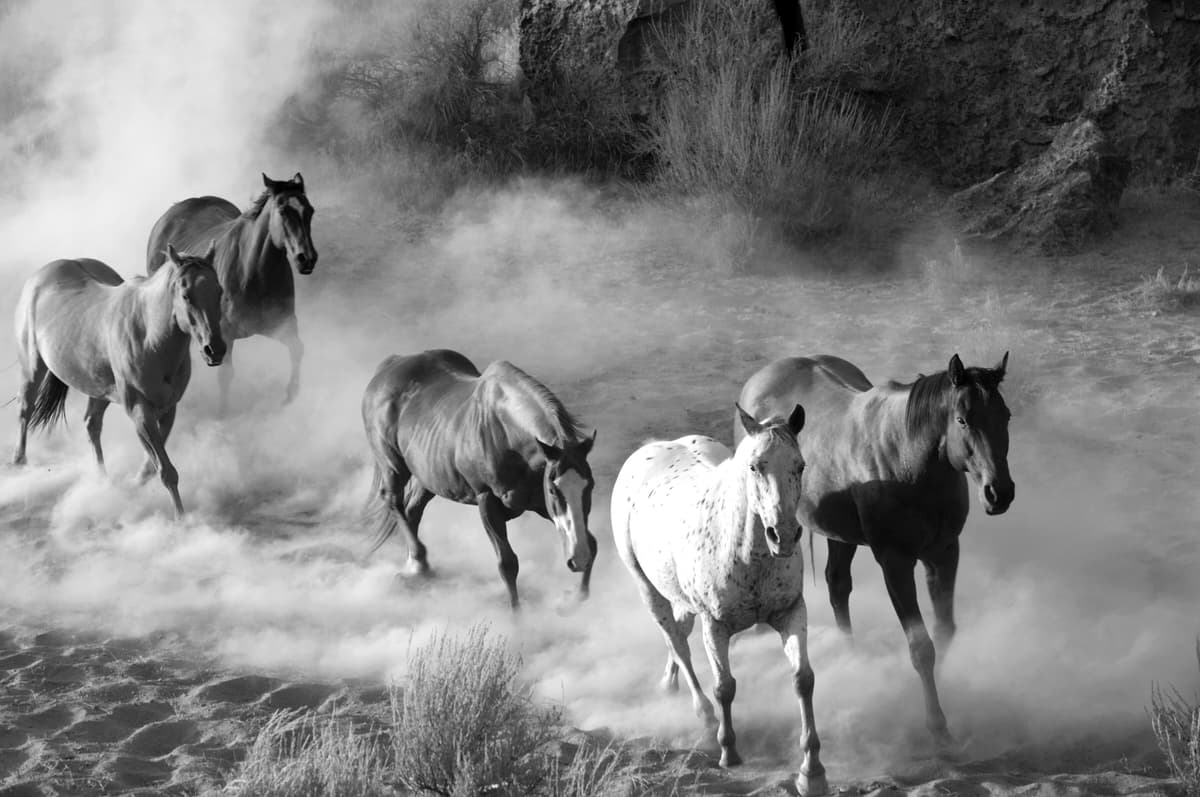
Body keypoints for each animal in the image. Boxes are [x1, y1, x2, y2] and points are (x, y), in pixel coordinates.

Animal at [12, 245, 226, 518]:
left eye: (219, 291)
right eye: (186, 295)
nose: (215, 350)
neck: (149, 336)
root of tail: (41, 276)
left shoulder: (168, 409)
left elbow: (152, 467)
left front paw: (134, 487)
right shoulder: (139, 411)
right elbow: (166, 471)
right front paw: (181, 519)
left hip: (99, 389)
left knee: (91, 424)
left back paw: (103, 482)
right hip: (32, 369)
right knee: (25, 410)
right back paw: (20, 464)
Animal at [145, 172, 317, 413]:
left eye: (309, 210)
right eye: (283, 211)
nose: (307, 259)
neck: (253, 272)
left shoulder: (283, 325)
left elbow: (297, 349)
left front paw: (290, 396)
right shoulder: (223, 334)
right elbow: (225, 376)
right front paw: (223, 412)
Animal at [361, 349, 598, 610]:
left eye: (590, 487)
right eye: (554, 490)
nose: (578, 559)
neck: (506, 434)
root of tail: (391, 364)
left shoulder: (540, 504)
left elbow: (592, 543)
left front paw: (572, 599)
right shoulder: (487, 501)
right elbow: (507, 564)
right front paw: (518, 617)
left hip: (427, 477)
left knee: (412, 511)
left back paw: (416, 568)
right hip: (393, 465)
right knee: (393, 500)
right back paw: (418, 564)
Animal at [611, 404, 827, 796]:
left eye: (800, 465)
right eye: (755, 466)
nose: (784, 535)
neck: (747, 553)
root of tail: (651, 448)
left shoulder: (791, 613)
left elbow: (803, 680)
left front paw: (812, 771)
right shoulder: (716, 625)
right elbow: (724, 687)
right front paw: (729, 752)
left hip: (680, 599)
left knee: (679, 634)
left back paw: (668, 683)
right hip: (648, 589)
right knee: (678, 644)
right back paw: (704, 716)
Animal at [736, 353, 1014, 748]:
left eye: (1005, 416)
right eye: (962, 419)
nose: (999, 493)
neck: (909, 461)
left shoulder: (944, 554)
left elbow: (944, 631)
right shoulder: (895, 564)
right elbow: (921, 647)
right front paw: (936, 724)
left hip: (840, 536)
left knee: (838, 586)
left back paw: (852, 657)